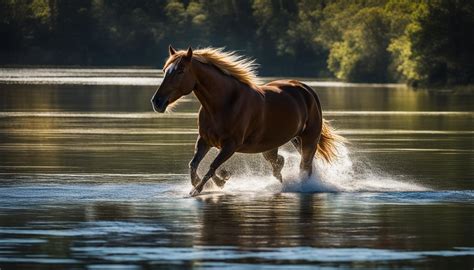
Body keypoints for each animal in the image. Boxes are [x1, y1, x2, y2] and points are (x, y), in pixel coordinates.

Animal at [152, 45, 344, 195]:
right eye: (164, 71)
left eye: (180, 71)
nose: (157, 102)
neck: (223, 104)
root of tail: (306, 89)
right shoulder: (205, 141)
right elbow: (193, 165)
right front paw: (219, 180)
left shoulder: (231, 145)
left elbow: (212, 166)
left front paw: (203, 188)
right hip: (275, 145)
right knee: (278, 164)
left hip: (308, 140)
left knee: (305, 167)